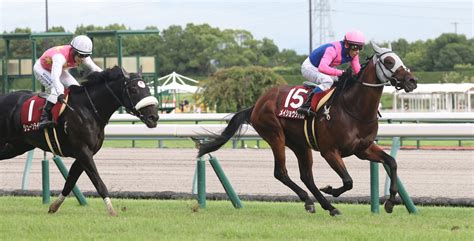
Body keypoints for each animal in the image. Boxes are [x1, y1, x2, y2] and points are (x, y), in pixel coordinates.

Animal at [0, 65, 159, 216]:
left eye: (147, 88)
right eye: (133, 90)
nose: (154, 117)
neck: (88, 109)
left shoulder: (84, 154)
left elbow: (70, 181)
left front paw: (53, 207)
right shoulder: (83, 151)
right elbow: (98, 182)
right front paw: (112, 211)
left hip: (16, 147)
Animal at [198, 42, 416, 216]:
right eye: (389, 61)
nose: (411, 81)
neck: (353, 108)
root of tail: (257, 103)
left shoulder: (363, 149)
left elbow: (392, 162)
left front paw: (390, 202)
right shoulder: (330, 151)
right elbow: (348, 181)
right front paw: (331, 189)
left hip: (300, 145)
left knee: (306, 176)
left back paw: (327, 206)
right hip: (275, 135)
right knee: (281, 172)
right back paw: (311, 201)